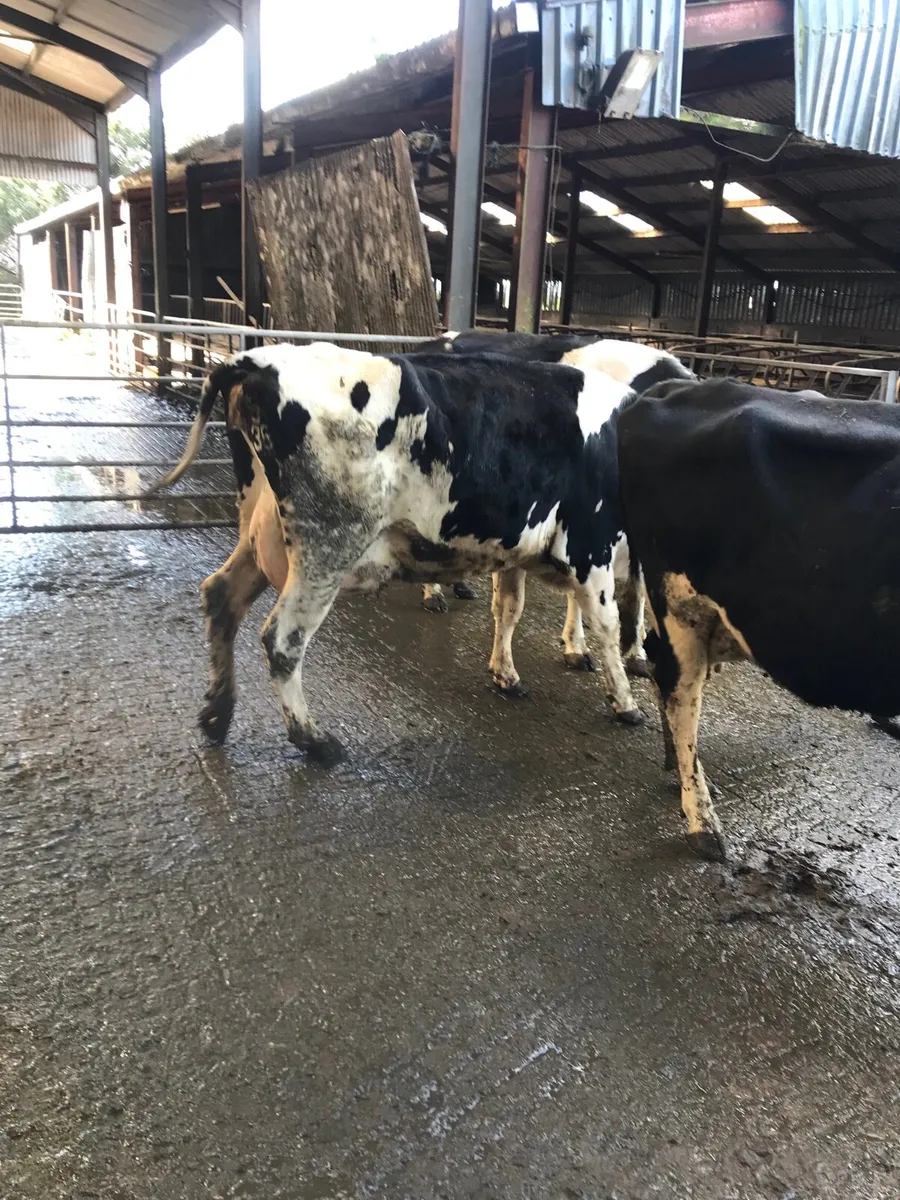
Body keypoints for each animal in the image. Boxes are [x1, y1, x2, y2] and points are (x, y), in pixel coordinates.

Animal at [147, 342, 642, 762]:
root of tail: (255, 361)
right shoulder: (592, 545)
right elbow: (607, 624)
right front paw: (624, 700)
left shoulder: (518, 545)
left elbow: (509, 608)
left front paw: (506, 674)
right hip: (328, 545)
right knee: (282, 639)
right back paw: (313, 739)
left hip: (259, 530)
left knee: (221, 596)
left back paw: (218, 713)